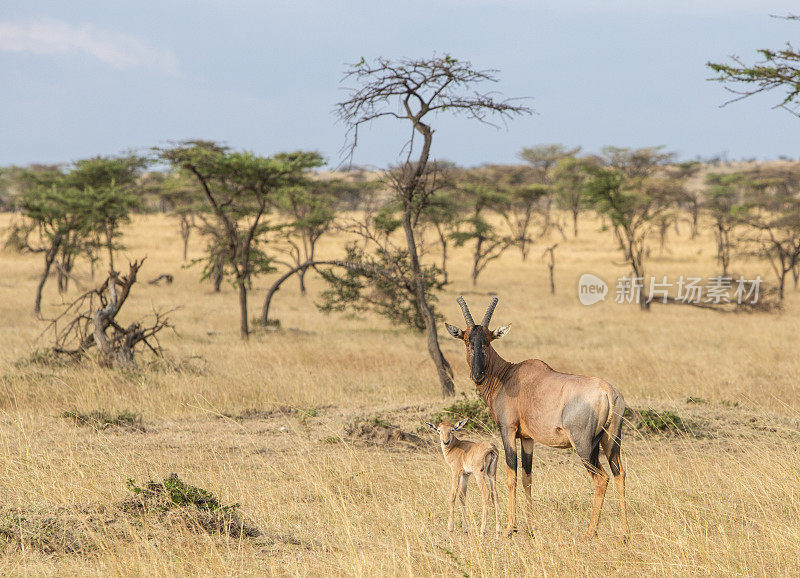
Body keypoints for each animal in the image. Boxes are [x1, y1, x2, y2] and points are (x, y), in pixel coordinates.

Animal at [444, 294, 624, 536]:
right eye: (467, 340)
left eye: (488, 341)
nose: (478, 375)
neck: (508, 375)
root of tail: (607, 392)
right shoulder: (528, 438)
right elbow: (527, 477)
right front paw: (529, 527)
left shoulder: (508, 431)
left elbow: (511, 476)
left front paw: (510, 528)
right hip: (611, 441)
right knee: (619, 474)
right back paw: (624, 533)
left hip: (585, 446)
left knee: (601, 478)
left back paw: (590, 532)